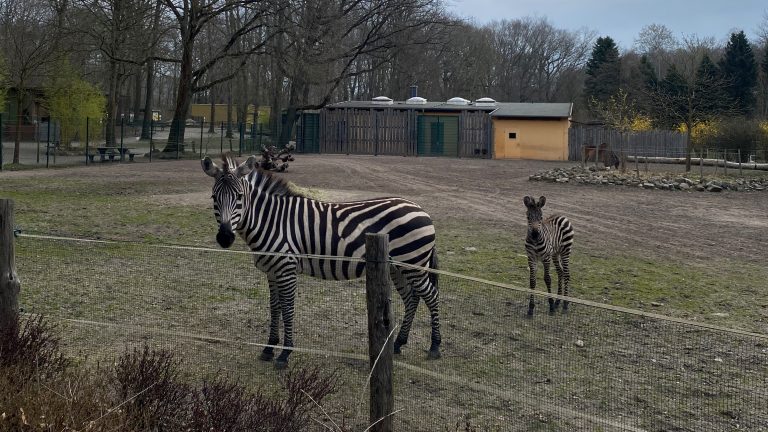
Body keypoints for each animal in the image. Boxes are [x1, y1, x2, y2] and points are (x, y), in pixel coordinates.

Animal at [202, 154, 441, 368]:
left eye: (239, 196)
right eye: (214, 198)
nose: (225, 238)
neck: (270, 220)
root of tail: (420, 208)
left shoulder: (286, 268)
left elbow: (287, 308)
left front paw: (285, 353)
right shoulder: (272, 270)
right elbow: (274, 307)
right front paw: (269, 348)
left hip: (414, 263)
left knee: (431, 296)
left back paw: (435, 346)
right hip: (397, 267)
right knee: (412, 298)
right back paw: (399, 343)